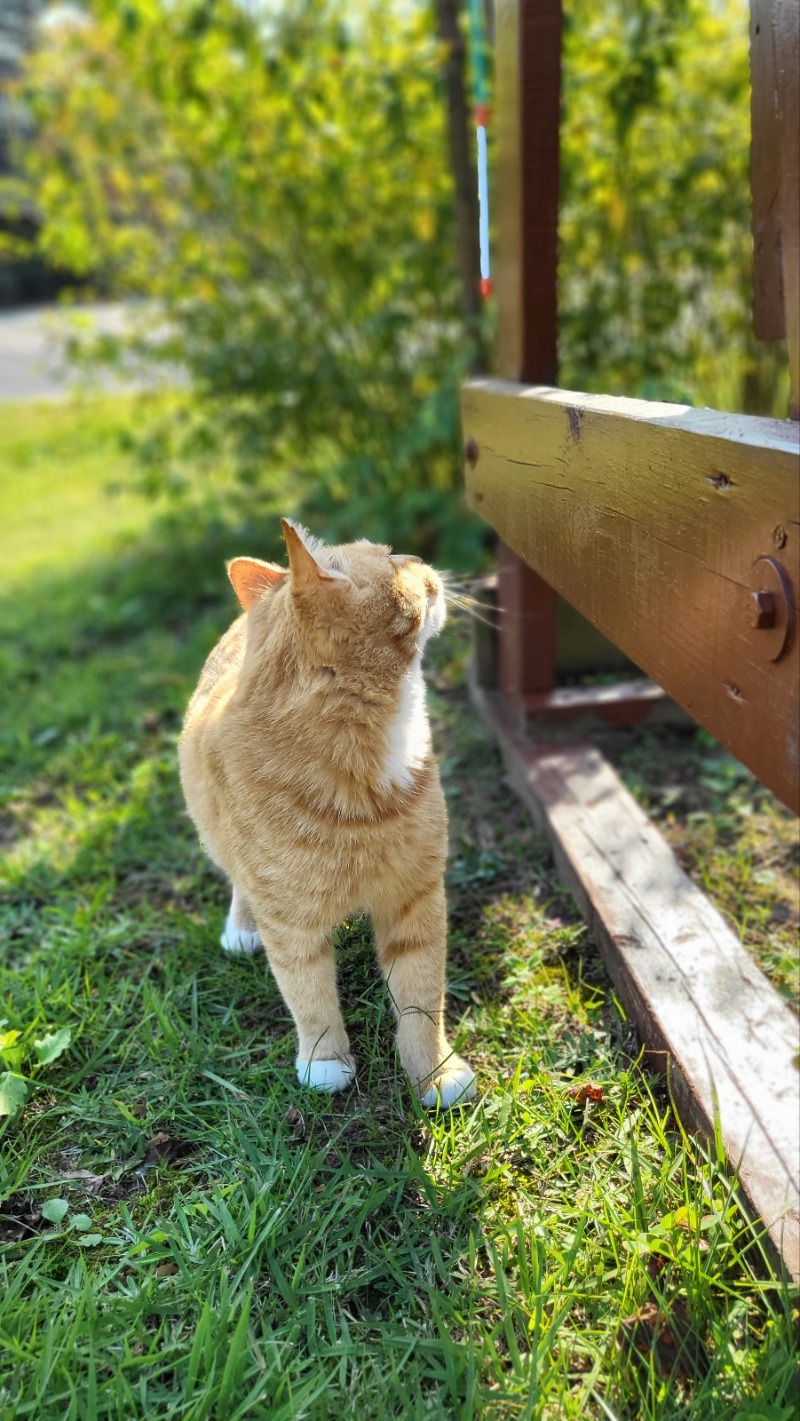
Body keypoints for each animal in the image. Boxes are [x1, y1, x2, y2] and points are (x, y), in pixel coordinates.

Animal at [178, 522, 471, 1108]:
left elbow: (421, 995)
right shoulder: (289, 925)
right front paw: (324, 1061)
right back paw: (241, 928)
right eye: (390, 560)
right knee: (239, 882)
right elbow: (308, 994)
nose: (420, 559)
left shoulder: (415, 897)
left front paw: (434, 1072)